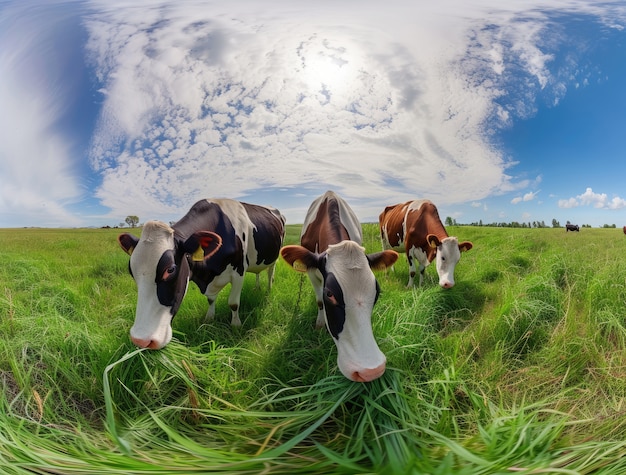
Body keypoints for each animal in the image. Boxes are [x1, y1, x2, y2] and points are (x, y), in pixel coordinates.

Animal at [117, 197, 286, 350]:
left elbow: (233, 303)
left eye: (170, 269)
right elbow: (211, 300)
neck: (208, 275)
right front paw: (209, 318)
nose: (141, 340)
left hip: (275, 255)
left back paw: (268, 289)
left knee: (270, 273)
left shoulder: (239, 271)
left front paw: (236, 325)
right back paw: (257, 287)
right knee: (258, 273)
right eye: (131, 270)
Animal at [280, 191, 398, 384]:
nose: (371, 371)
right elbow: (319, 301)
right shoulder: (312, 273)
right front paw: (320, 323)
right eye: (330, 294)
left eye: (377, 293)